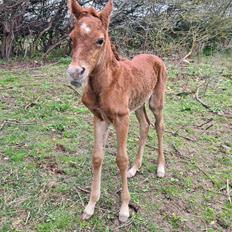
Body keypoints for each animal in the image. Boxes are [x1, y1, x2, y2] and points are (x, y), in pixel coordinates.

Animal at [67, 0, 167, 222]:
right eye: (71, 38)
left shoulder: (121, 119)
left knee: (159, 126)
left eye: (100, 40)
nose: (75, 73)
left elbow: (121, 159)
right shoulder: (99, 117)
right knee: (145, 125)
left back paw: (160, 168)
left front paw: (124, 209)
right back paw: (135, 169)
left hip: (156, 101)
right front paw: (90, 206)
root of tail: (155, 57)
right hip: (137, 105)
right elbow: (97, 157)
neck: (106, 84)